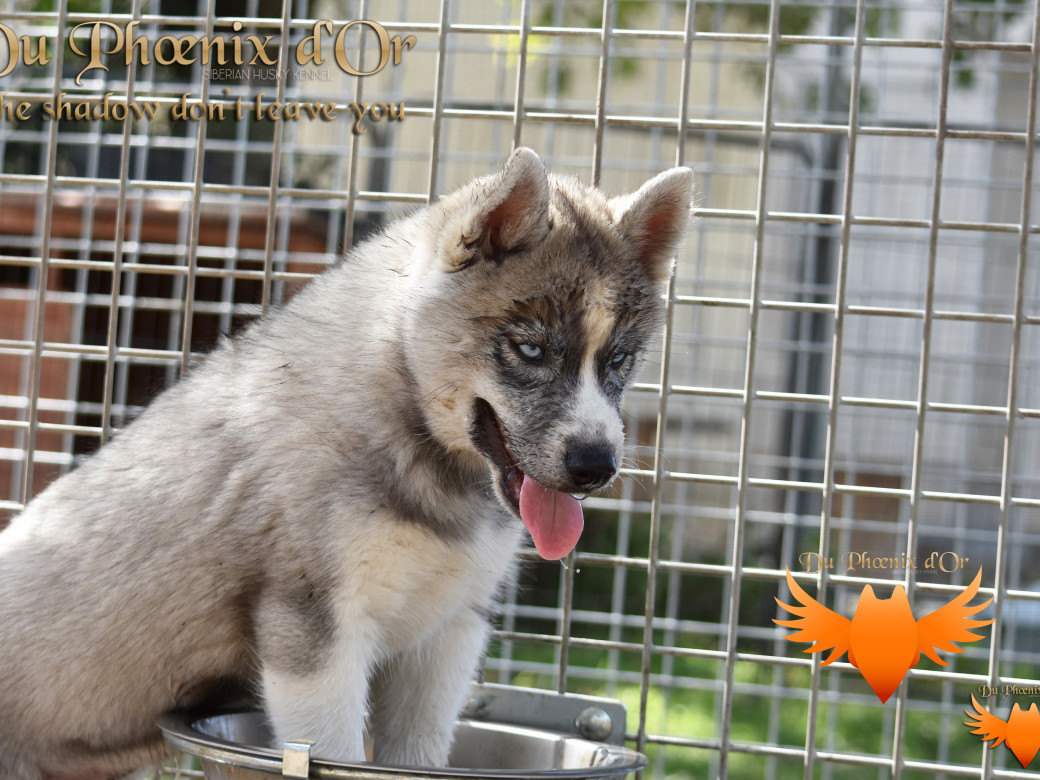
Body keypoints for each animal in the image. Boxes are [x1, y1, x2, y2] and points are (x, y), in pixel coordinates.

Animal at [2, 149, 698, 777]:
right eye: (529, 350)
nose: (596, 466)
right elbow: (334, 748)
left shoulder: (446, 637)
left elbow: (419, 753)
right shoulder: (317, 630)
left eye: (618, 360)